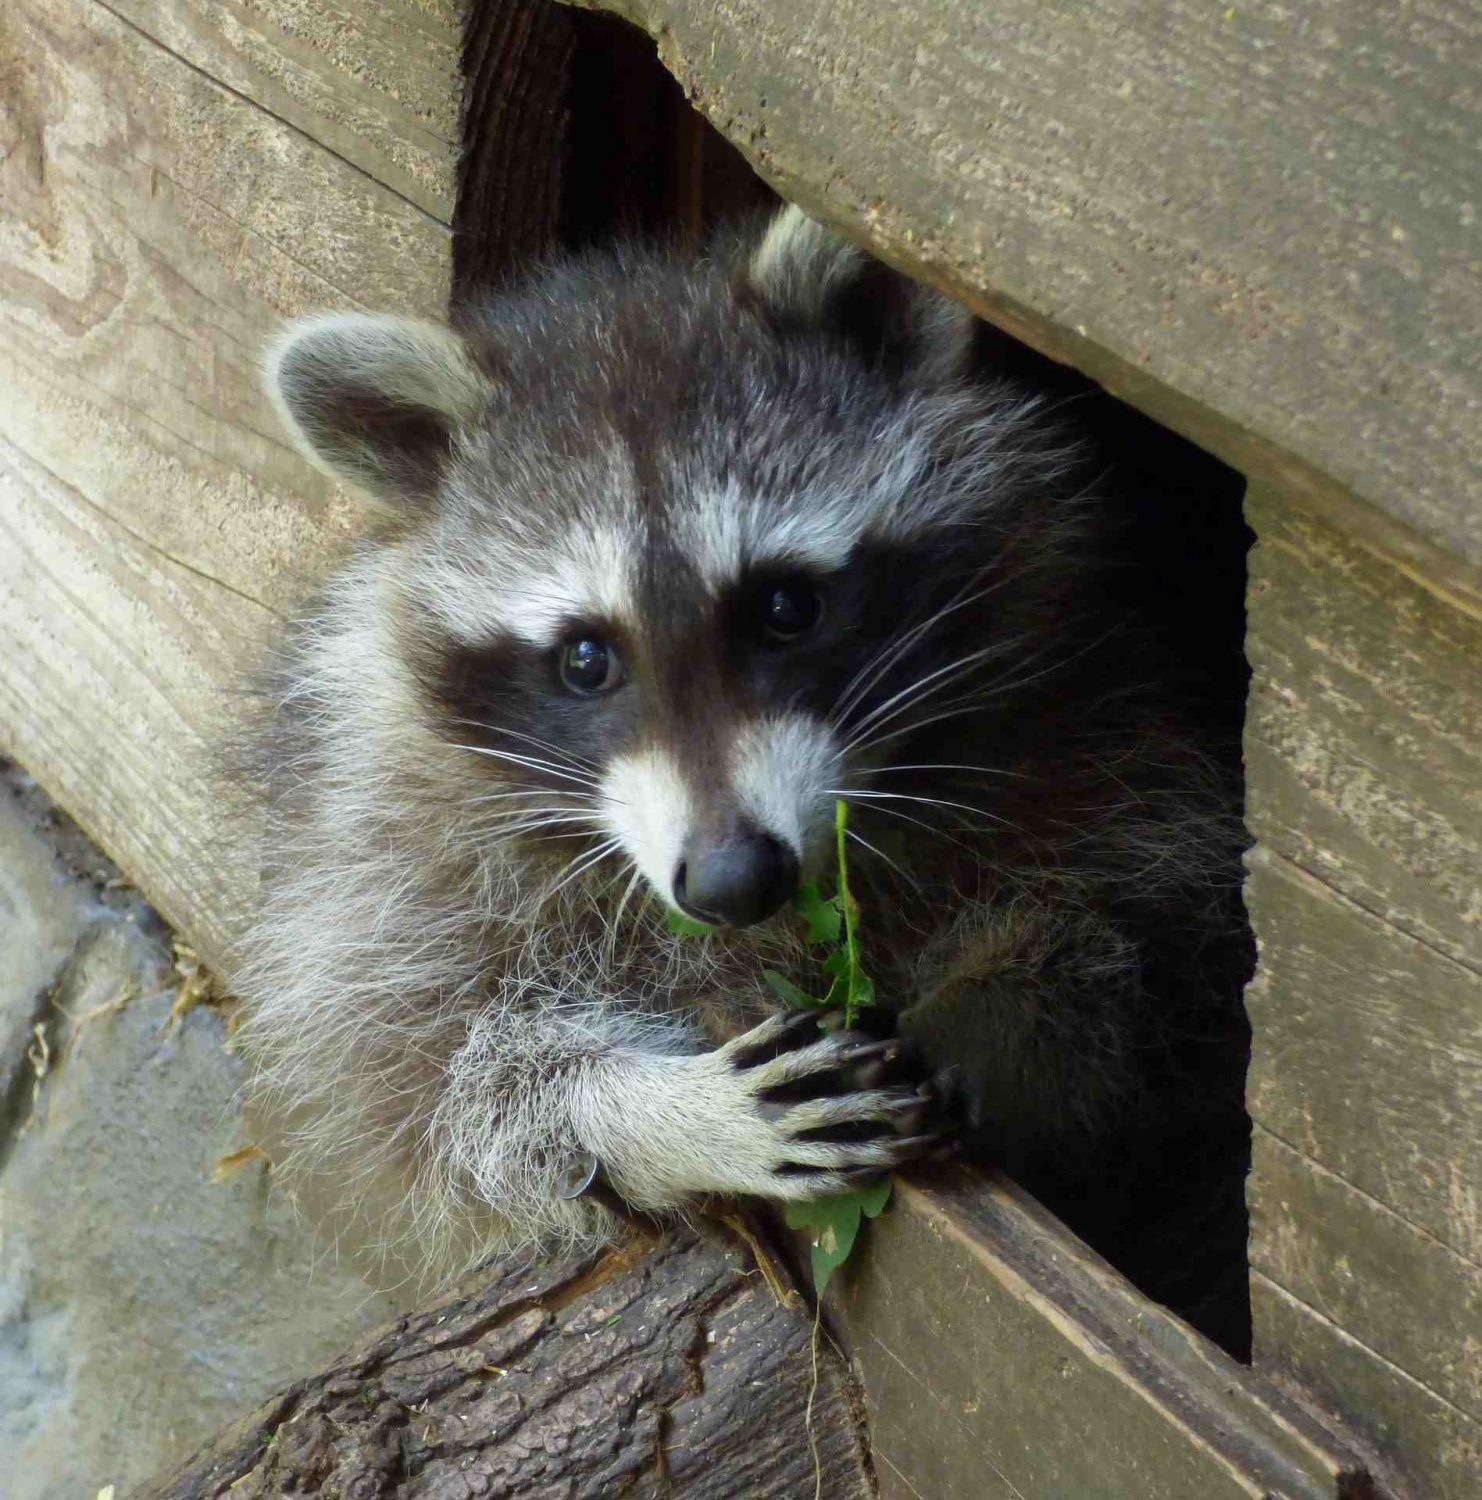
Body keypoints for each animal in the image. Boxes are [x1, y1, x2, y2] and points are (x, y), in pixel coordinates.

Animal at [240, 205, 1248, 1344]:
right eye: (584, 659)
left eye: (784, 606)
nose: (733, 881)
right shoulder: (383, 839)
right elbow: (434, 1088)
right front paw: (656, 1110)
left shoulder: (1081, 698)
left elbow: (1157, 916)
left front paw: (1009, 1002)